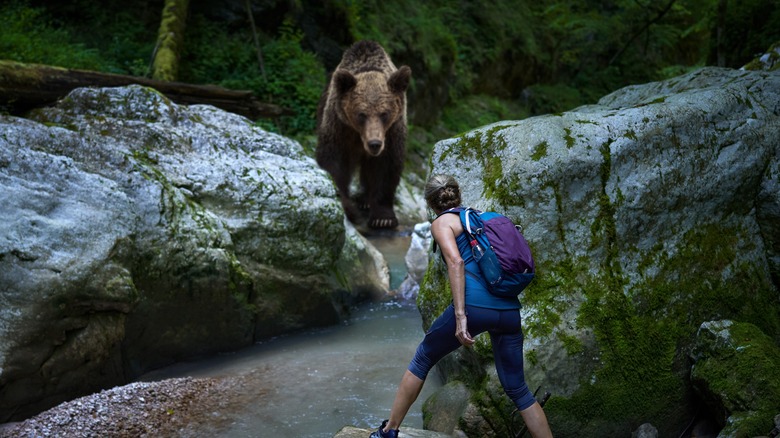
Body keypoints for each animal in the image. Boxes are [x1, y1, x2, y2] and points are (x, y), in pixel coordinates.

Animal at [314, 40, 412, 229]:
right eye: (361, 114)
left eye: (384, 113)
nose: (374, 144)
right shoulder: (339, 126)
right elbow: (334, 162)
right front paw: (347, 207)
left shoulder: (391, 132)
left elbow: (386, 167)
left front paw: (383, 218)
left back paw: (365, 200)